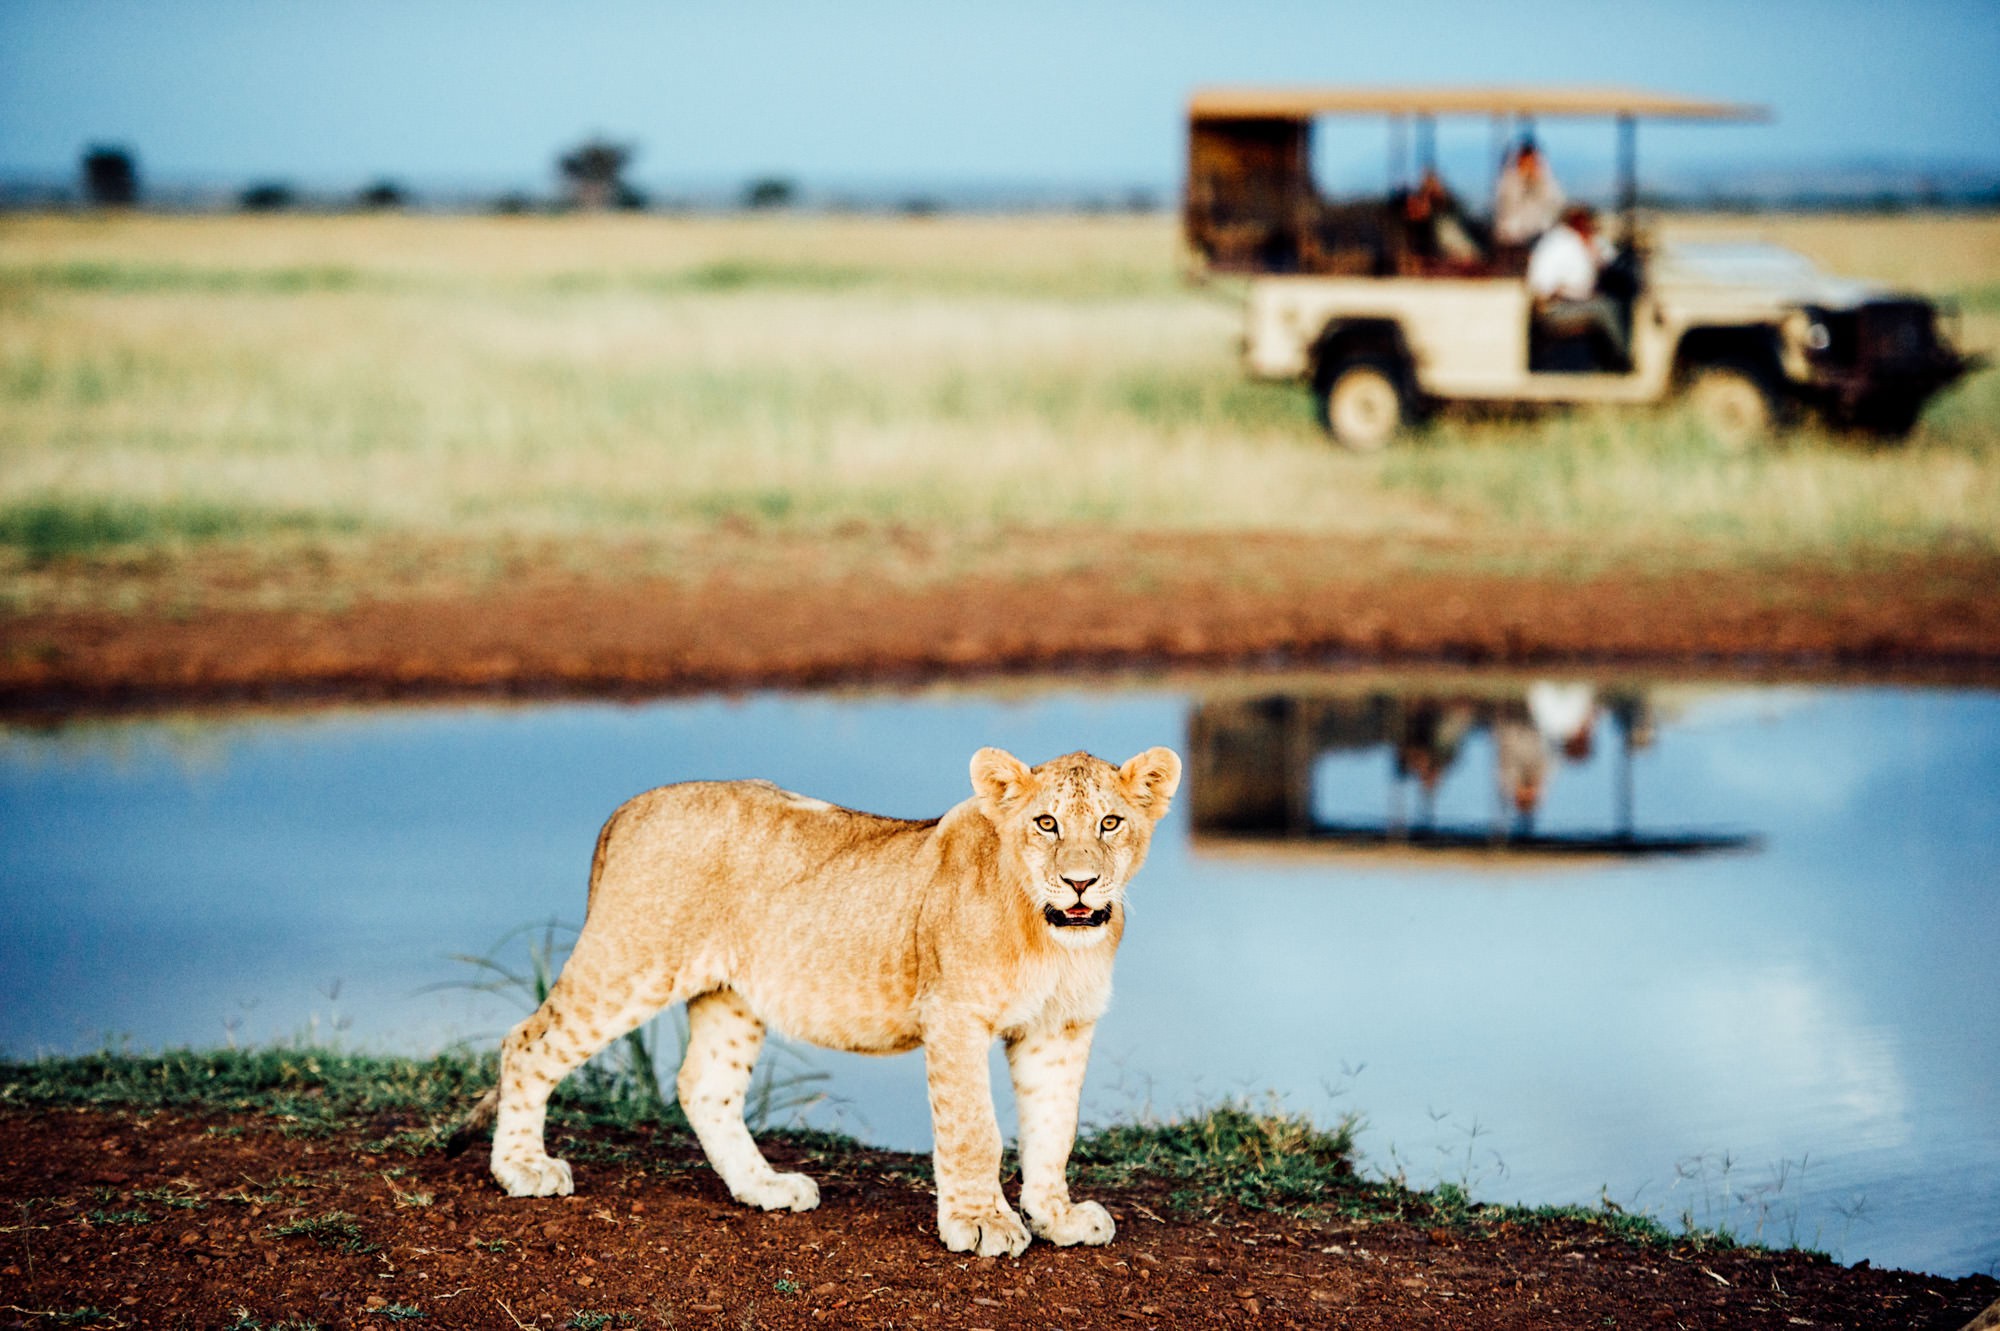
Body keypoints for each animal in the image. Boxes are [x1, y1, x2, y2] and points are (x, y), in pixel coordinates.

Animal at [453, 744, 1182, 1257]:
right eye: (1046, 823)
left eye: (1111, 823)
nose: (1081, 882)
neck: (1057, 935)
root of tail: (630, 805)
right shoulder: (954, 1015)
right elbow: (975, 1127)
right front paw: (981, 1224)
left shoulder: (1062, 1028)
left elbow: (1054, 1129)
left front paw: (1057, 1217)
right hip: (629, 961)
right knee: (528, 1043)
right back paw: (521, 1169)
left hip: (730, 994)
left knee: (703, 1086)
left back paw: (764, 1187)